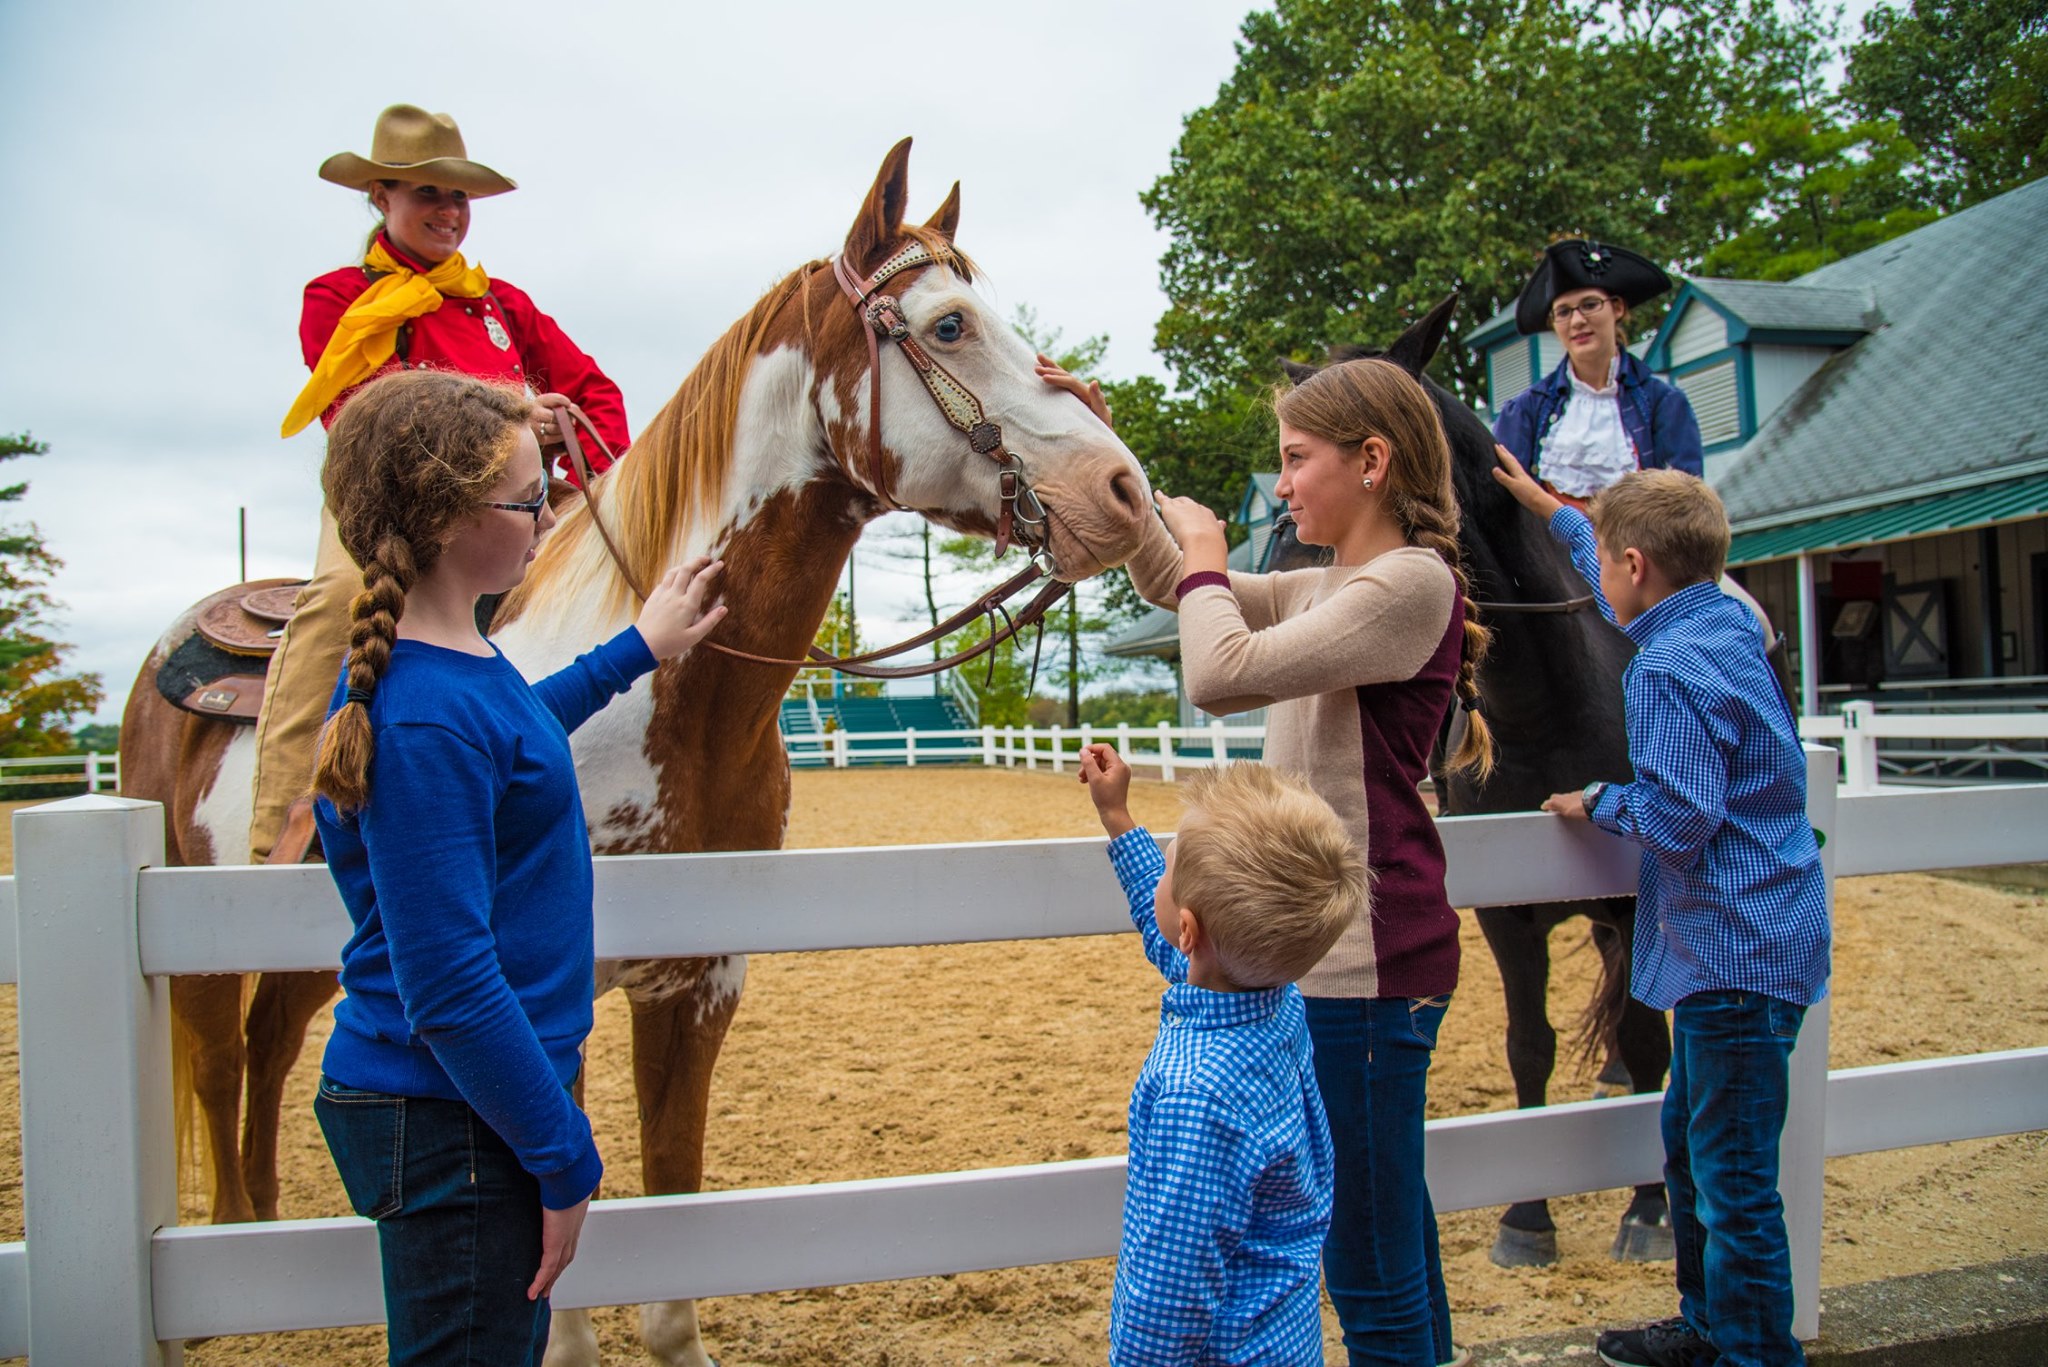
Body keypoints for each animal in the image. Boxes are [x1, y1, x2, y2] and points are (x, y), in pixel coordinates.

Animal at [117, 138, 1154, 1367]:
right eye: (947, 325)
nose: (1123, 491)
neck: (672, 708)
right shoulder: (543, 989)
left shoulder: (699, 981)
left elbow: (671, 1197)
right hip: (203, 937)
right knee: (224, 1062)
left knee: (273, 1045)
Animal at [1277, 295, 1676, 1270]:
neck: (1549, 706)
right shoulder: (1505, 911)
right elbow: (1529, 1046)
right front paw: (1527, 1216)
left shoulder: (1632, 892)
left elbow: (1647, 1032)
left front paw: (1648, 1208)